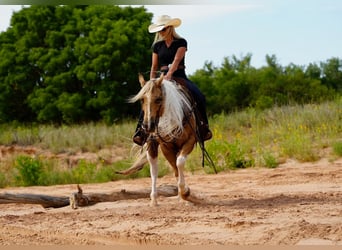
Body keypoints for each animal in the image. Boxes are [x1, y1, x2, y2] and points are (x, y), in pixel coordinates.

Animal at [129, 73, 198, 206]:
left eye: (158, 99)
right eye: (142, 100)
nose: (148, 126)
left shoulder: (190, 141)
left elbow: (179, 162)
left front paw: (184, 193)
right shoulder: (166, 147)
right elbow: (175, 169)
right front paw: (184, 192)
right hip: (153, 146)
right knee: (154, 169)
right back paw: (154, 200)